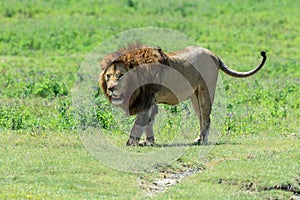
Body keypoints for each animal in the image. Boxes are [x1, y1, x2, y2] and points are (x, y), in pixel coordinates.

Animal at [99, 43, 266, 146]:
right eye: (108, 76)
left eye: (121, 75)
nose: (111, 88)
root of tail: (214, 55)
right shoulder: (150, 101)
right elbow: (149, 121)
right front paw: (148, 142)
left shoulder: (146, 100)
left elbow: (140, 122)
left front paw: (131, 143)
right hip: (194, 95)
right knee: (202, 117)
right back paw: (200, 138)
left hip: (206, 90)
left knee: (206, 117)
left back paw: (202, 141)